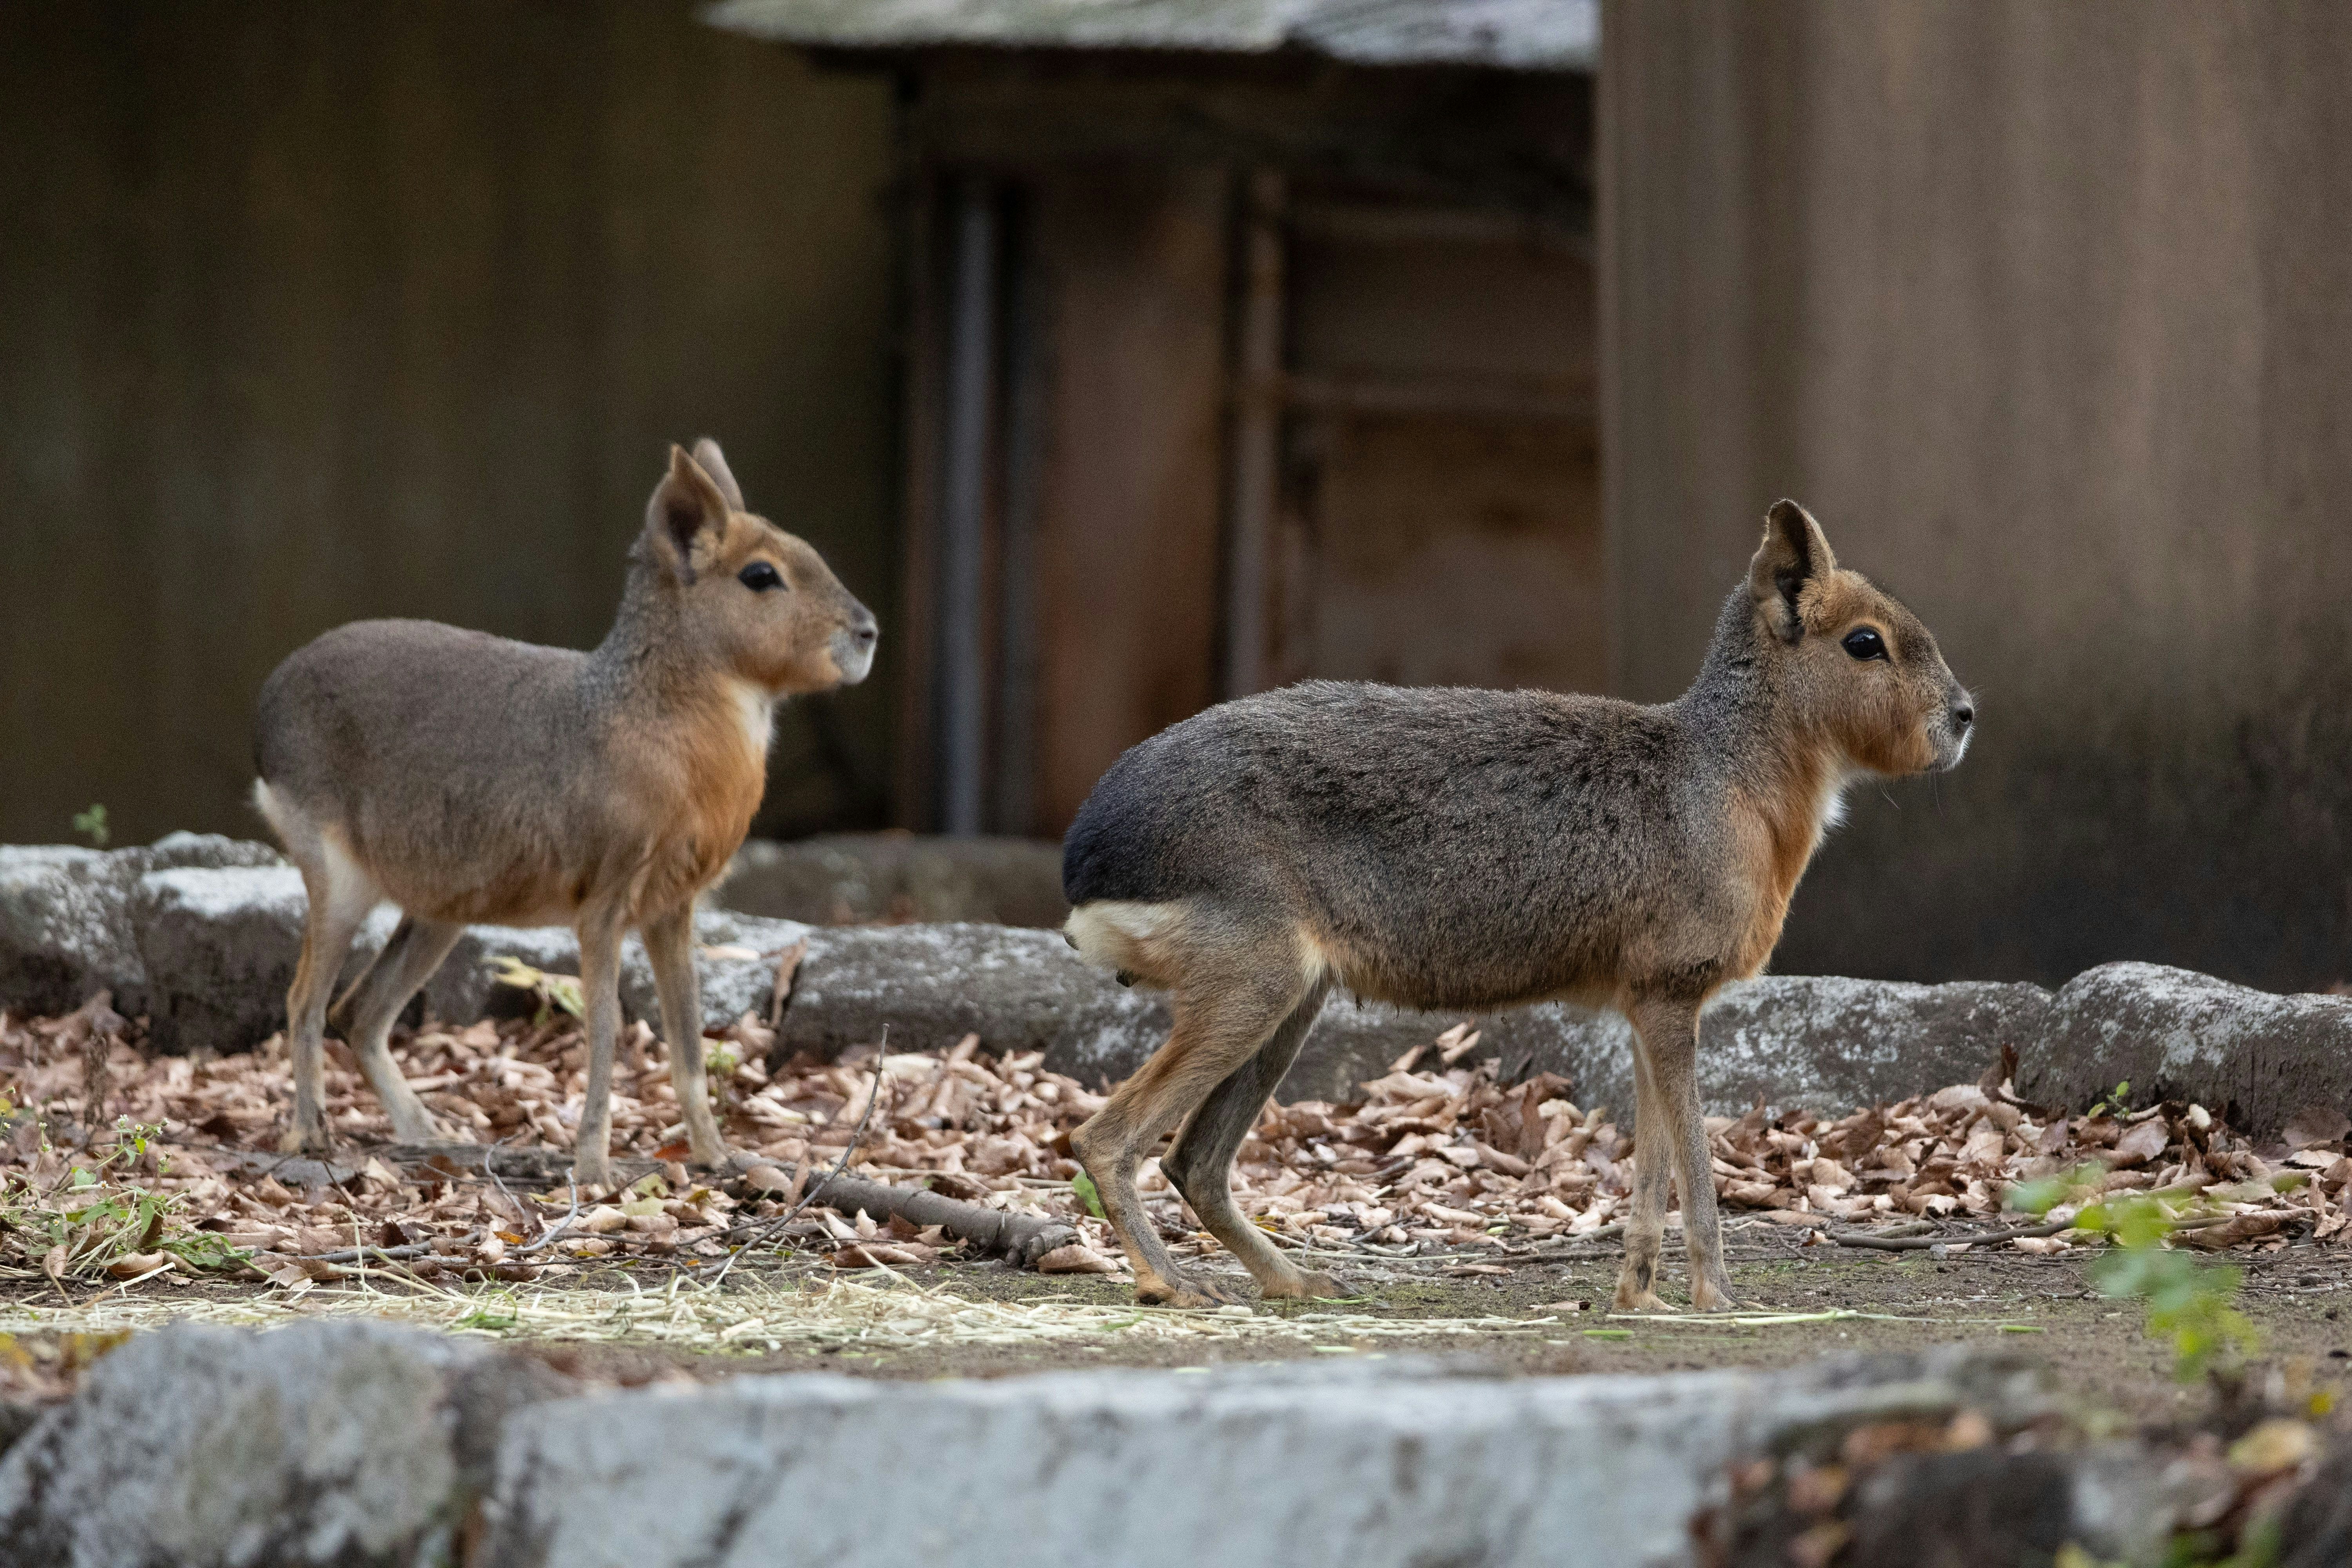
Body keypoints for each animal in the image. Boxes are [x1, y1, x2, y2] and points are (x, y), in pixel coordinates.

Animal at [251, 440, 876, 1187]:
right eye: (761, 575)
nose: (868, 632)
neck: (657, 721)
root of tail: (267, 706)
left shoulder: (673, 906)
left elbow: (689, 1043)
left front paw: (719, 1155)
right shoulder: (602, 903)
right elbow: (606, 1031)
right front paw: (594, 1165)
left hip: (441, 912)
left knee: (361, 1012)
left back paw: (428, 1135)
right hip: (339, 880)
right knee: (306, 1001)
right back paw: (309, 1135)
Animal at [1059, 501, 1972, 1310]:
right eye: (1865, 642)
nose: (1964, 716)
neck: (1724, 781)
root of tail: (1086, 851)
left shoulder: (1646, 1004)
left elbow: (1652, 1165)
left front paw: (1638, 1296)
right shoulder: (1674, 993)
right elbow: (1696, 1166)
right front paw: (1718, 1297)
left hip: (1290, 1001)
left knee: (1195, 1161)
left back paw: (1293, 1281)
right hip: (1253, 984)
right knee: (1108, 1138)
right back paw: (1171, 1283)